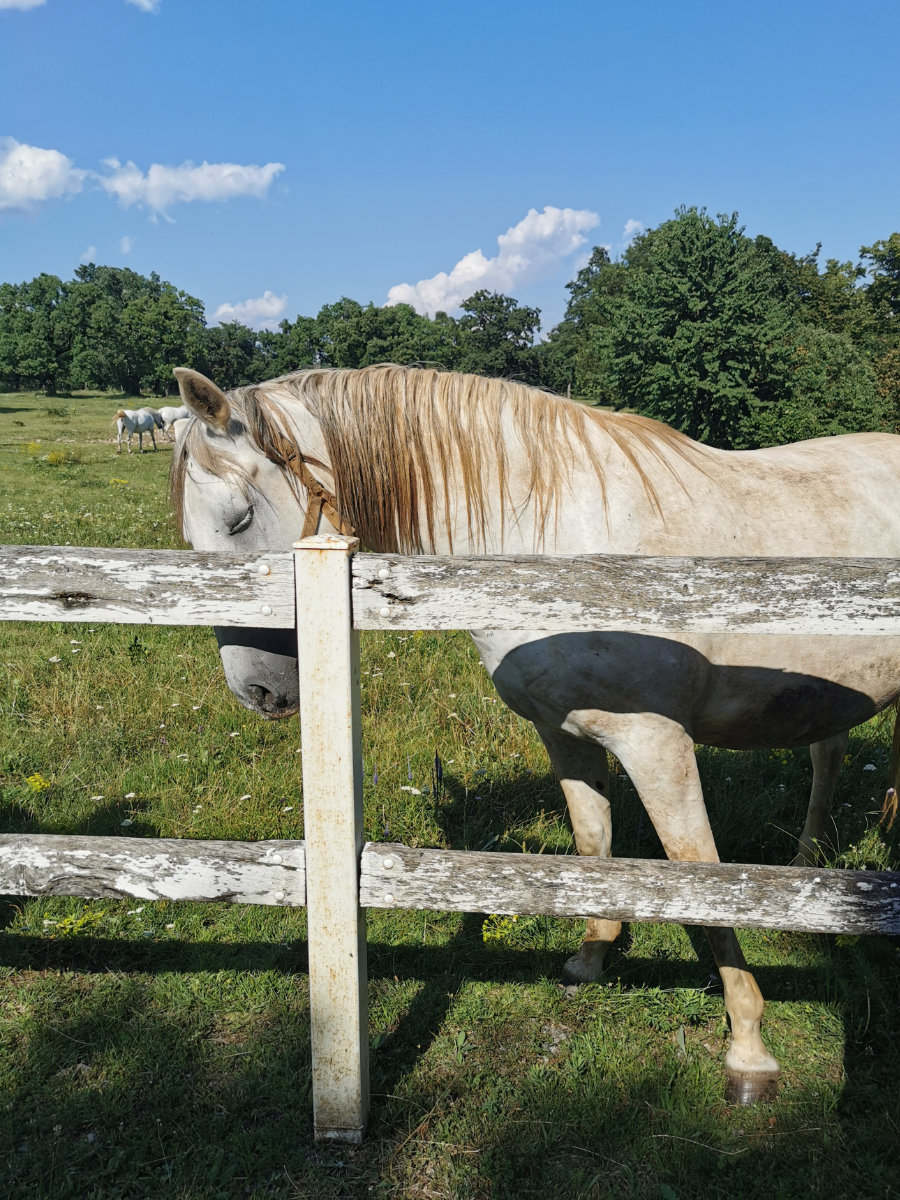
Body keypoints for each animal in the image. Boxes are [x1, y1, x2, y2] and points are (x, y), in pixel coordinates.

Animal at [169, 363, 900, 1106]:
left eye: (240, 519)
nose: (258, 692)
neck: (559, 551)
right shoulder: (565, 735)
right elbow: (593, 844)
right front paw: (591, 957)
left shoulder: (656, 744)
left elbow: (697, 873)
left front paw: (748, 1045)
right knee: (829, 753)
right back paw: (809, 861)